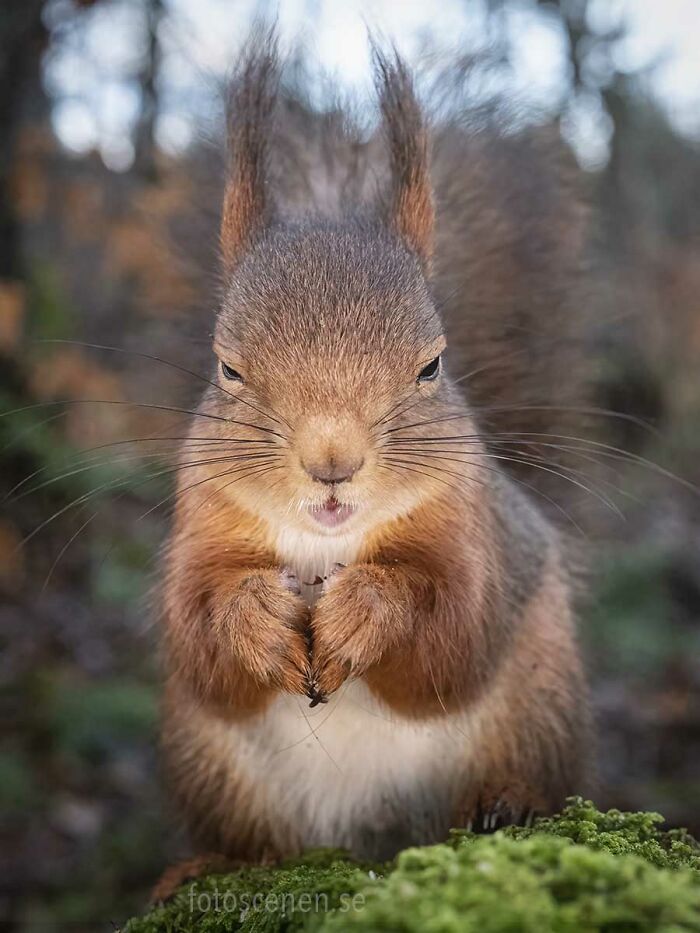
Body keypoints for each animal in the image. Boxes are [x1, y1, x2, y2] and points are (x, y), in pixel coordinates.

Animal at [159, 32, 593, 869]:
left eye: (432, 366)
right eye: (227, 368)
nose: (333, 461)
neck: (327, 543)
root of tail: (370, 839)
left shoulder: (474, 533)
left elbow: (452, 633)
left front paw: (367, 609)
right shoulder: (199, 524)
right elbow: (197, 635)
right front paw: (254, 614)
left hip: (540, 694)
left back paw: (505, 803)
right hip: (207, 761)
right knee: (249, 837)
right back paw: (211, 861)